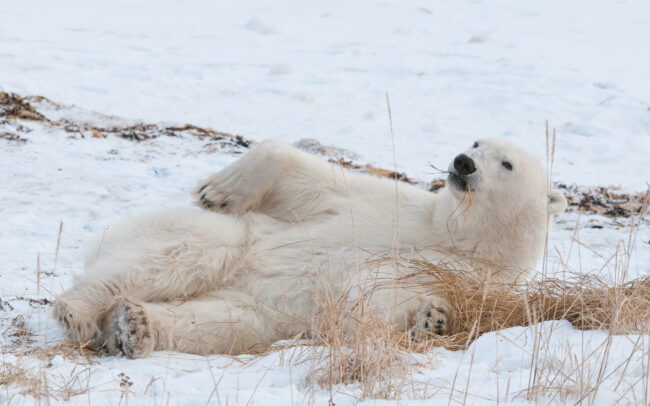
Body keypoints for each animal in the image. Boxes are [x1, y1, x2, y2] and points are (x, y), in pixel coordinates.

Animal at [54, 138, 567, 358]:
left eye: (507, 163)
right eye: (476, 141)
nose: (462, 163)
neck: (456, 235)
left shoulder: (476, 280)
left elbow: (370, 302)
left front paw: (432, 319)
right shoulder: (390, 207)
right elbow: (310, 180)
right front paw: (217, 189)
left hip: (257, 310)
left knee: (219, 322)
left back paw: (132, 325)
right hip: (231, 242)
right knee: (198, 248)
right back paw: (81, 310)